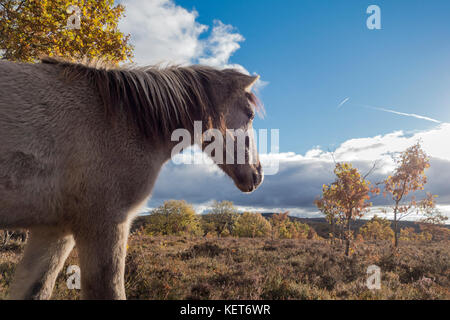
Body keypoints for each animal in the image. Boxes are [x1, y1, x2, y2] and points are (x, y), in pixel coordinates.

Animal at [0, 57, 264, 300]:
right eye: (250, 115)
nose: (258, 174)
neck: (124, 121)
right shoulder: (106, 223)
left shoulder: (55, 230)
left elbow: (36, 289)